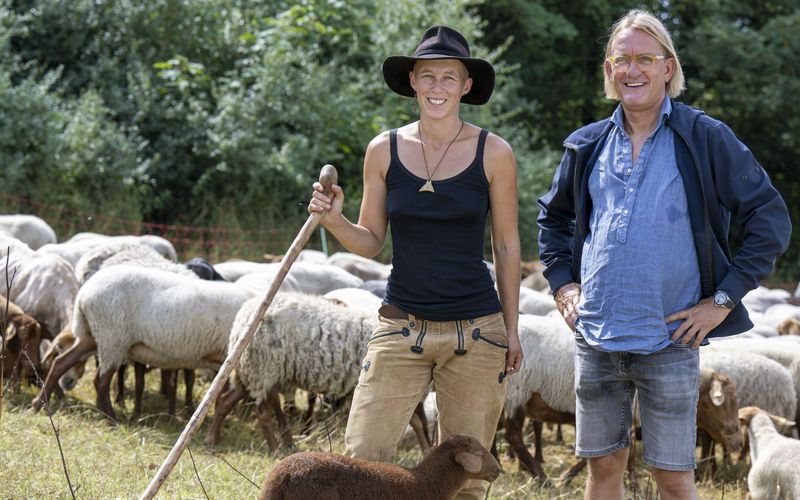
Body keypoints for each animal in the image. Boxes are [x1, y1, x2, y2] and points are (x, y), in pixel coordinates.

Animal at [32, 266, 253, 418]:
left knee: (61, 362)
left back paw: (38, 403)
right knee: (100, 381)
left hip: (96, 336)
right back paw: (112, 418)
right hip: (113, 337)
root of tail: (85, 292)